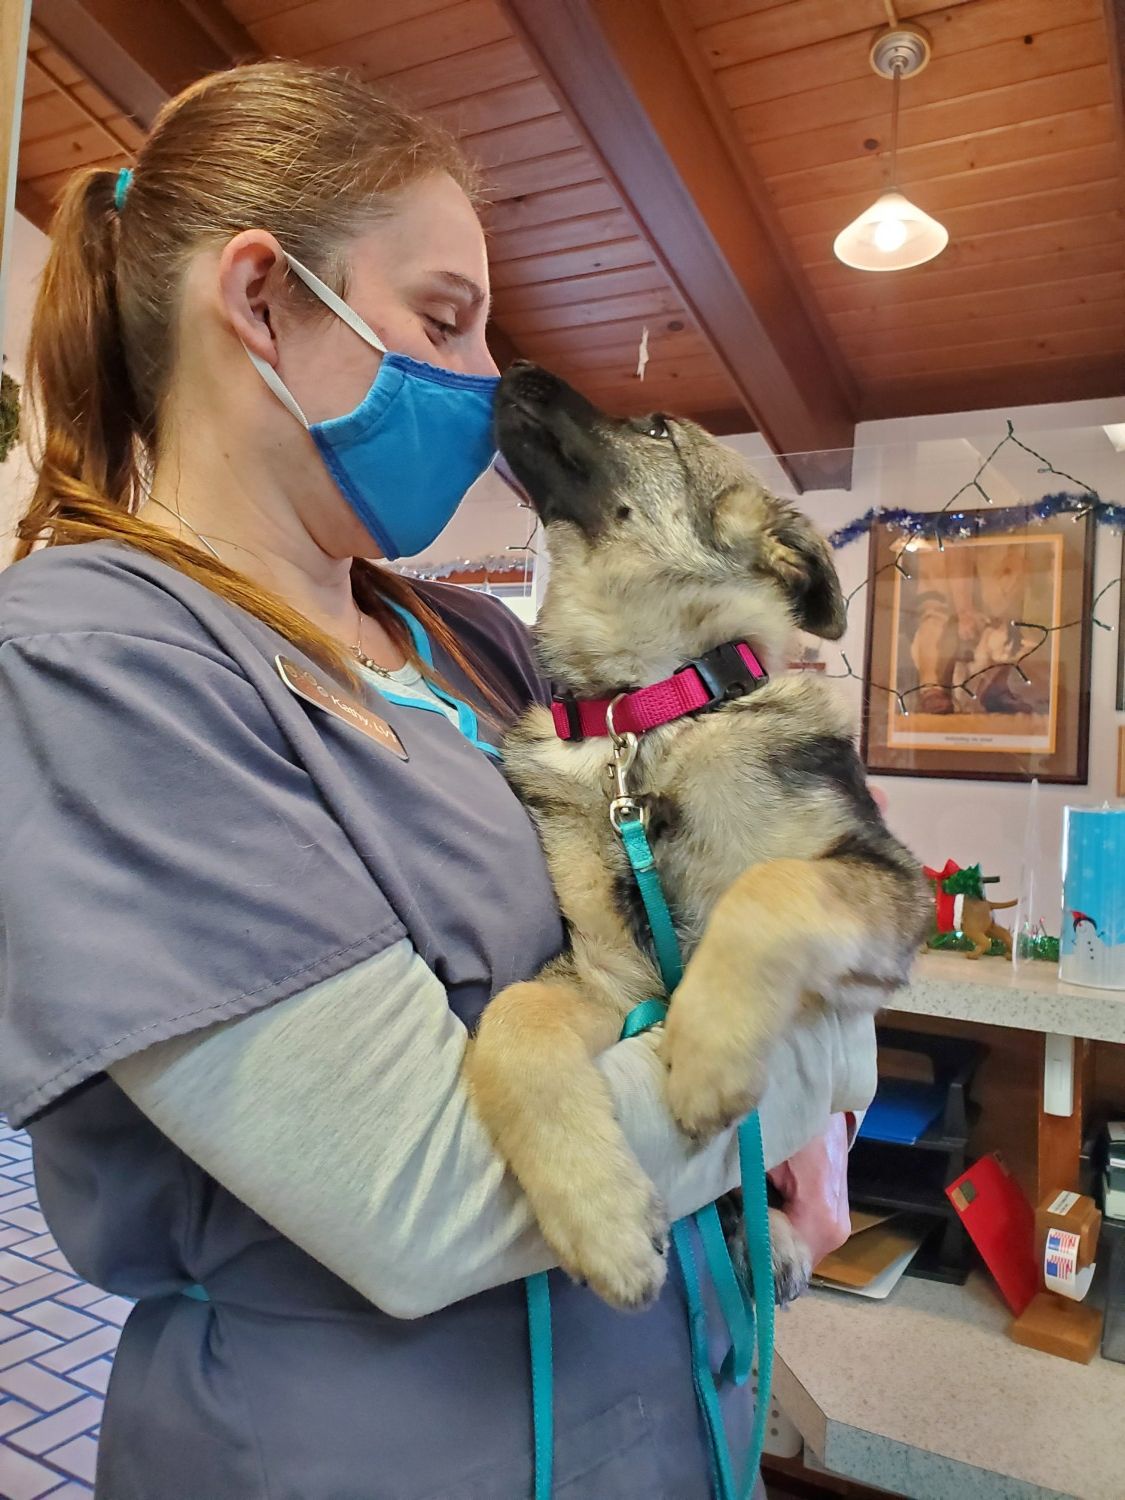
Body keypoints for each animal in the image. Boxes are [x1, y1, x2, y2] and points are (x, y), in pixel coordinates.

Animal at [462, 366, 930, 1314]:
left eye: (654, 428)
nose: (513, 369)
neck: (647, 714)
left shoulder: (889, 889)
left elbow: (770, 886)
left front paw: (708, 1054)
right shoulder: (607, 979)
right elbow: (513, 1023)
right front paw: (599, 1219)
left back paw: (776, 1241)